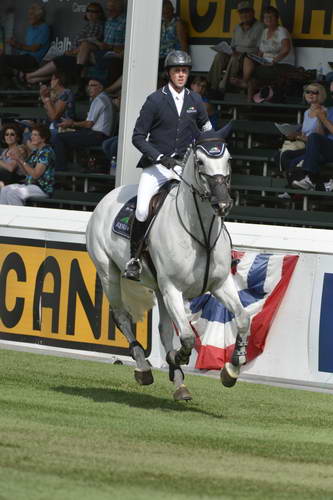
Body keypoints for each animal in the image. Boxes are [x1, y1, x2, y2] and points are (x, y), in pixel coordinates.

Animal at [85, 127, 249, 400]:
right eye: (200, 162)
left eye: (228, 160)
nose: (223, 204)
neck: (201, 233)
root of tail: (108, 197)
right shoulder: (173, 289)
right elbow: (187, 337)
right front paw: (177, 358)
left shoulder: (220, 284)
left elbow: (243, 318)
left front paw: (232, 369)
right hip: (108, 272)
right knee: (122, 317)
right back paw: (143, 368)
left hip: (159, 290)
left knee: (163, 330)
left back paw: (180, 384)